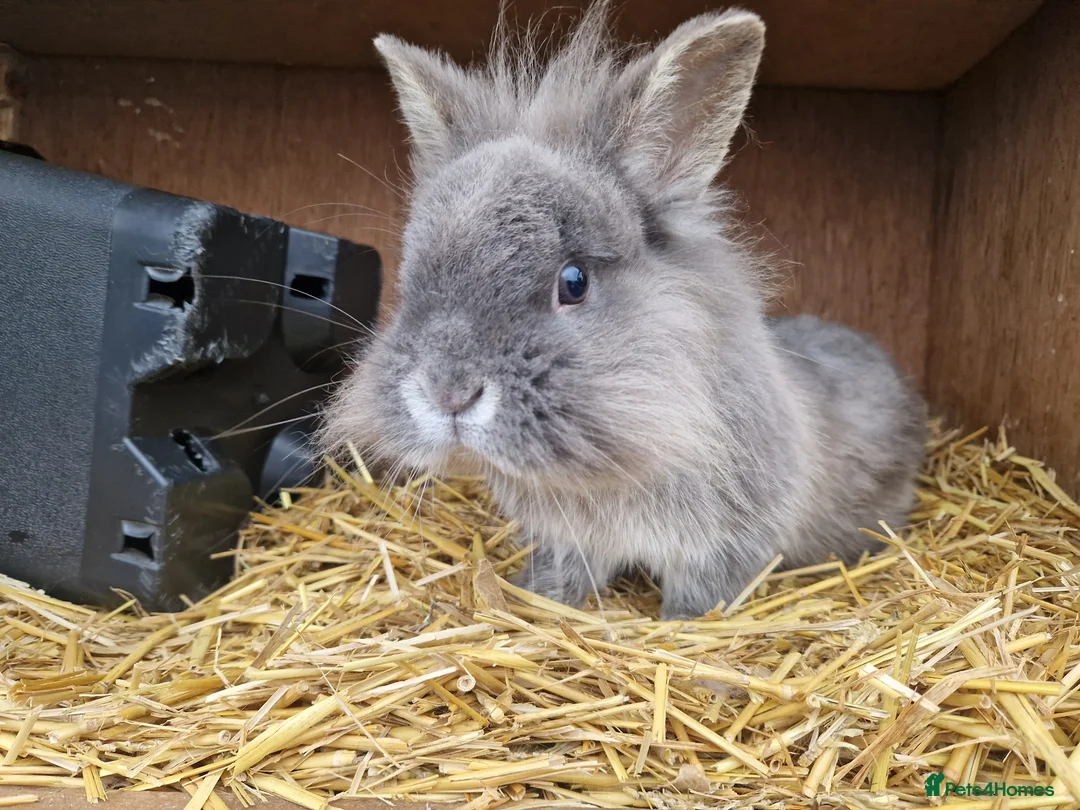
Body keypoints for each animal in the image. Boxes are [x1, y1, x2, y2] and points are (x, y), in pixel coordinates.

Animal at [322, 2, 928, 620]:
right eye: (411, 276)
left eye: (574, 282)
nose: (448, 393)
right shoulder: (570, 540)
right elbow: (564, 573)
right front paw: (534, 598)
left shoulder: (724, 548)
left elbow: (700, 600)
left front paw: (685, 636)